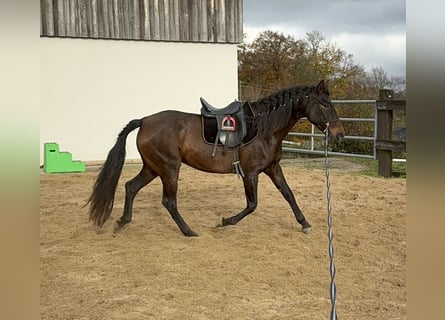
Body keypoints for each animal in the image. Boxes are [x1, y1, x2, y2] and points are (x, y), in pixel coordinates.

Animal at [86, 79, 344, 236]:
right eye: (324, 104)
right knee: (169, 202)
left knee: (131, 187)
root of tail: (145, 121)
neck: (263, 128)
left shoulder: (272, 168)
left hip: (152, 168)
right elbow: (252, 205)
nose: (339, 134)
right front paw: (225, 221)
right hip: (169, 169)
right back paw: (188, 231)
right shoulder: (250, 173)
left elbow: (289, 194)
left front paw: (305, 223)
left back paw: (122, 222)